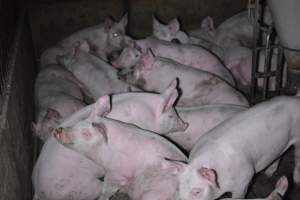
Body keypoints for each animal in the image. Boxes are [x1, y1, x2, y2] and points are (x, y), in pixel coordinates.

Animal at [164, 95, 300, 200]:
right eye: (177, 188)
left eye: (197, 191)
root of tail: (296, 99)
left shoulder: (245, 178)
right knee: (280, 154)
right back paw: (268, 174)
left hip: (298, 139)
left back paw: (296, 181)